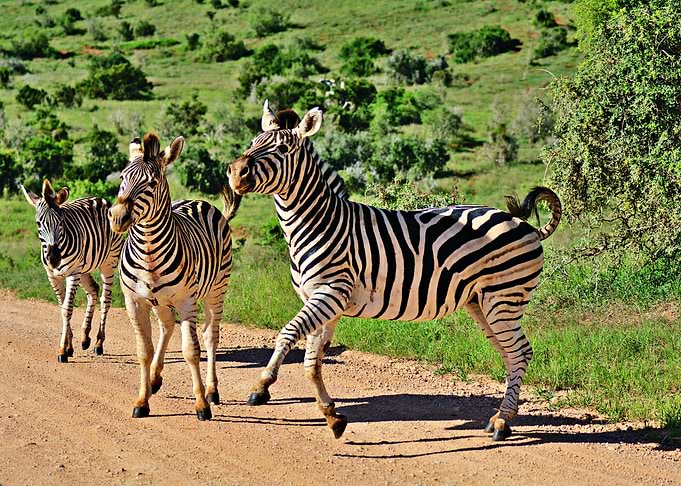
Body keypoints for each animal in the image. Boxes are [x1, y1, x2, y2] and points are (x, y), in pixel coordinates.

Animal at [22, 179, 123, 363]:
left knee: (105, 299)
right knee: (93, 290)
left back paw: (99, 343)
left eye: (61, 222)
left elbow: (67, 309)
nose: (54, 259)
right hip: (83, 269)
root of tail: (99, 199)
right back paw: (85, 338)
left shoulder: (72, 274)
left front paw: (62, 351)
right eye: (38, 224)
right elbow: (62, 308)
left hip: (108, 262)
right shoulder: (53, 277)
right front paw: (69, 347)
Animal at [108, 133, 240, 421]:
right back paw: (155, 379)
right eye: (122, 177)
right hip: (160, 301)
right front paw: (142, 401)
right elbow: (143, 351)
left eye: (152, 183)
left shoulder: (186, 301)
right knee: (167, 326)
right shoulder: (135, 302)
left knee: (210, 336)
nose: (117, 217)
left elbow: (191, 351)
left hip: (217, 289)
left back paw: (212, 391)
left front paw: (201, 405)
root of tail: (198, 201)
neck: (148, 252)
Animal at [227, 102, 562, 441]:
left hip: (504, 297)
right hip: (481, 302)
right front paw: (331, 414)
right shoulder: (323, 302)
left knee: (520, 352)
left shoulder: (330, 293)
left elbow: (288, 333)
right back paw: (501, 418)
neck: (318, 224)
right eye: (254, 141)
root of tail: (527, 226)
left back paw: (503, 421)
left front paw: (262, 386)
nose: (235, 172)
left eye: (282, 149)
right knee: (510, 354)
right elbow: (313, 361)